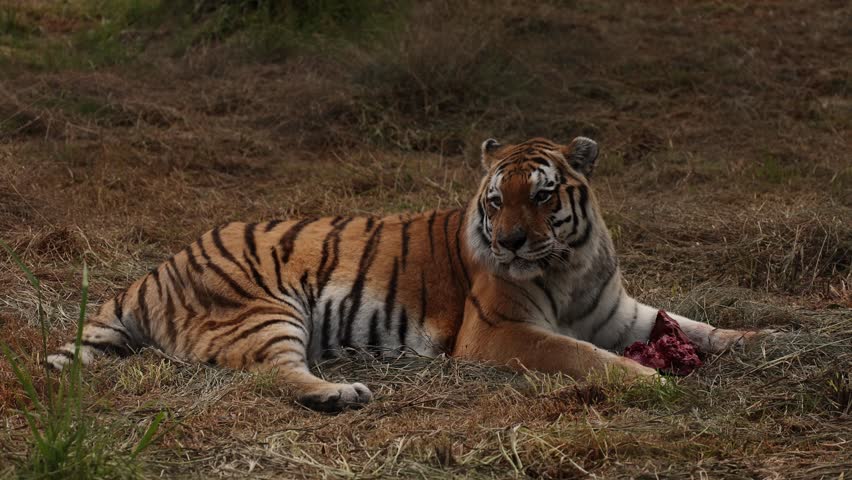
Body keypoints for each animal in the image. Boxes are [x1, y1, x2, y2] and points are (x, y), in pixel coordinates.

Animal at [48, 136, 765, 412]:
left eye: (542, 196)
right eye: (496, 200)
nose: (509, 242)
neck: (569, 264)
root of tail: (157, 268)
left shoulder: (619, 310)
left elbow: (696, 326)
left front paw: (761, 341)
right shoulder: (497, 332)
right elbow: (577, 353)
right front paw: (647, 378)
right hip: (265, 312)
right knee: (271, 374)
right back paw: (344, 393)